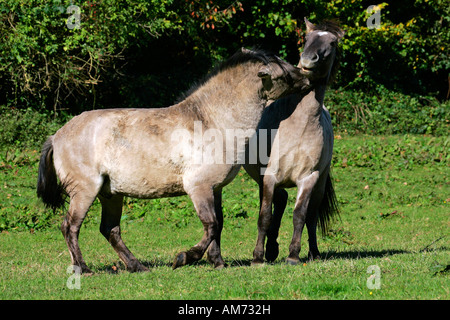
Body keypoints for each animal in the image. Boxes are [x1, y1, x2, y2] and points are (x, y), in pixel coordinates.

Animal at [37, 47, 312, 272]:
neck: (212, 121)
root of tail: (57, 136)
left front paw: (218, 263)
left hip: (111, 193)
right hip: (85, 190)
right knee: (70, 226)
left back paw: (137, 266)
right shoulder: (198, 187)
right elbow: (211, 225)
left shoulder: (215, 189)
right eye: (284, 73)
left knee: (110, 230)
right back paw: (82, 268)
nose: (308, 80)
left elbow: (218, 225)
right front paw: (185, 257)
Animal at [244, 19, 342, 264]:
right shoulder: (269, 176)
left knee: (311, 216)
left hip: (319, 183)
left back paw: (313, 253)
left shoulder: (308, 178)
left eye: (333, 43)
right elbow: (264, 216)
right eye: (307, 38)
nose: (307, 60)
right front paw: (258, 257)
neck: (299, 125)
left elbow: (300, 216)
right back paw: (270, 250)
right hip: (263, 178)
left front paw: (294, 255)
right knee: (278, 203)